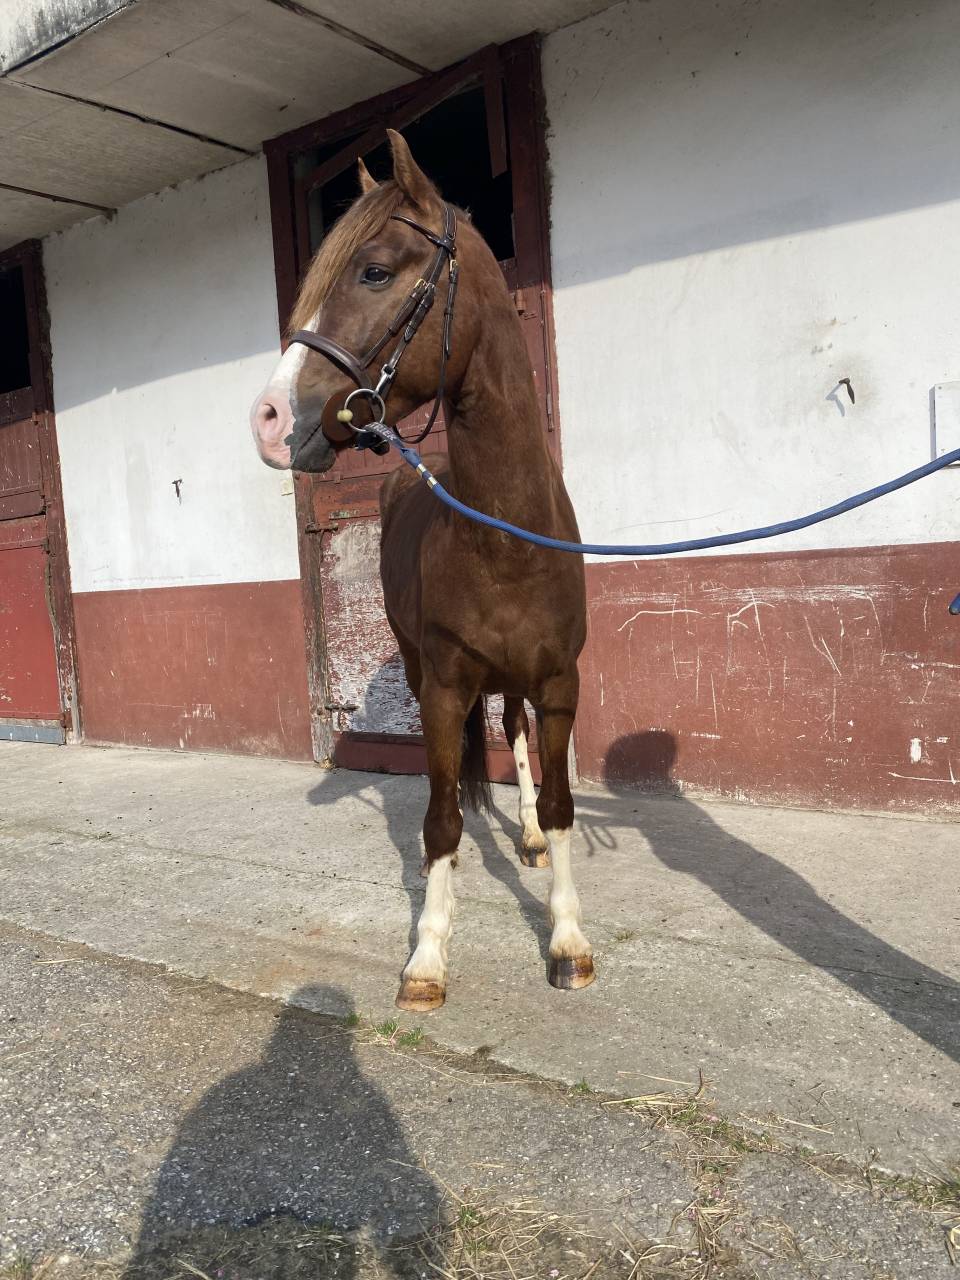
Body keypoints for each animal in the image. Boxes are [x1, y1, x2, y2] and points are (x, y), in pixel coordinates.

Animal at [251, 130, 594, 1011]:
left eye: (374, 271)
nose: (269, 420)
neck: (506, 536)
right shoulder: (441, 686)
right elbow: (442, 819)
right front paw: (428, 957)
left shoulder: (558, 683)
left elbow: (560, 802)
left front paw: (569, 940)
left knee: (516, 738)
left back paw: (528, 839)